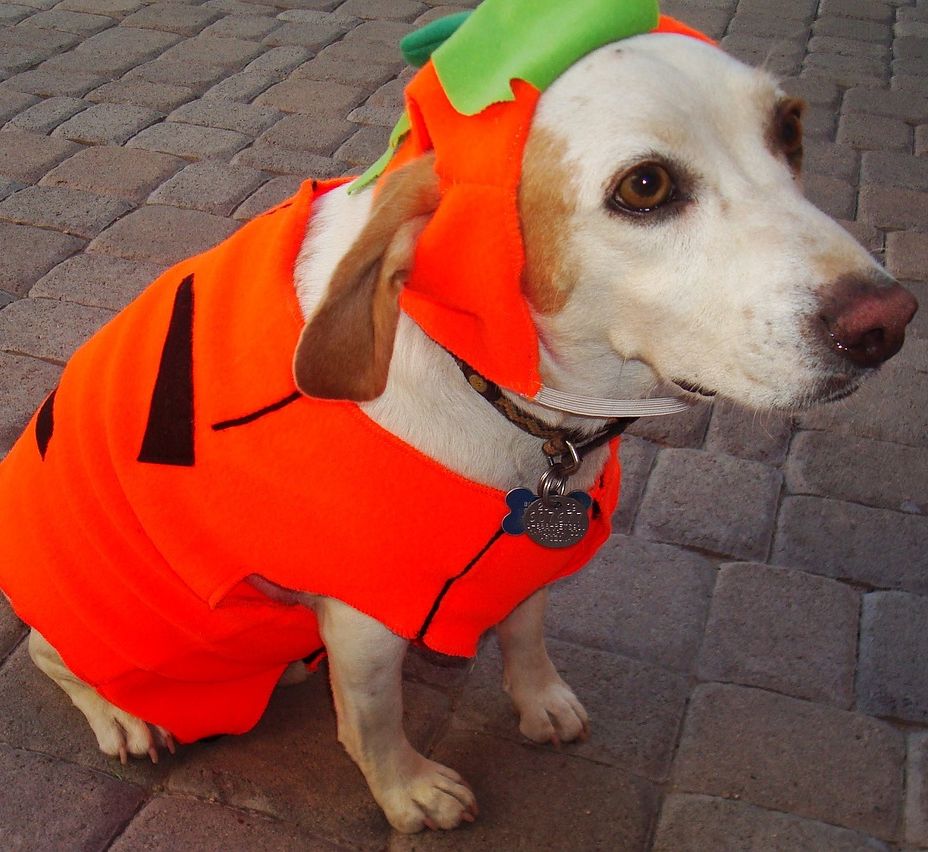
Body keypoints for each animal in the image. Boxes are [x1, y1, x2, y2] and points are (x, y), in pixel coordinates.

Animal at [0, 6, 916, 836]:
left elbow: (527, 631)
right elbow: (372, 722)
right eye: (645, 187)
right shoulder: (366, 618)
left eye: (789, 129)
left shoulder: (525, 556)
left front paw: (541, 701)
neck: (515, 410)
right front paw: (410, 793)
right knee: (52, 655)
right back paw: (125, 716)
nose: (889, 324)